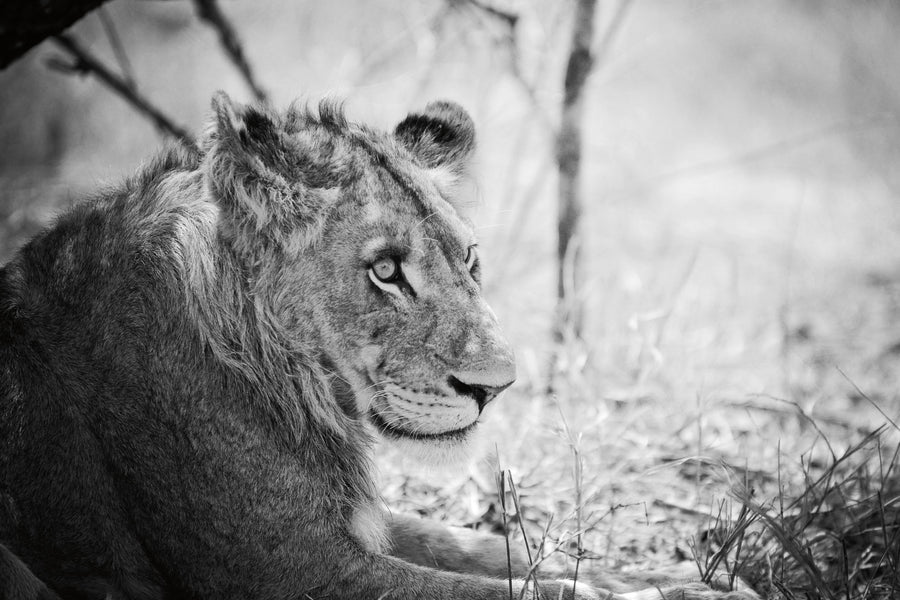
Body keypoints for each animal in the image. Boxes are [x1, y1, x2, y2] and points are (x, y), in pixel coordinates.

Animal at [0, 93, 758, 600]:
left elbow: (493, 549)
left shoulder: (352, 527)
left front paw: (679, 578)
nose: (496, 386)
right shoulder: (288, 568)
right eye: (386, 270)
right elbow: (509, 590)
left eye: (470, 260)